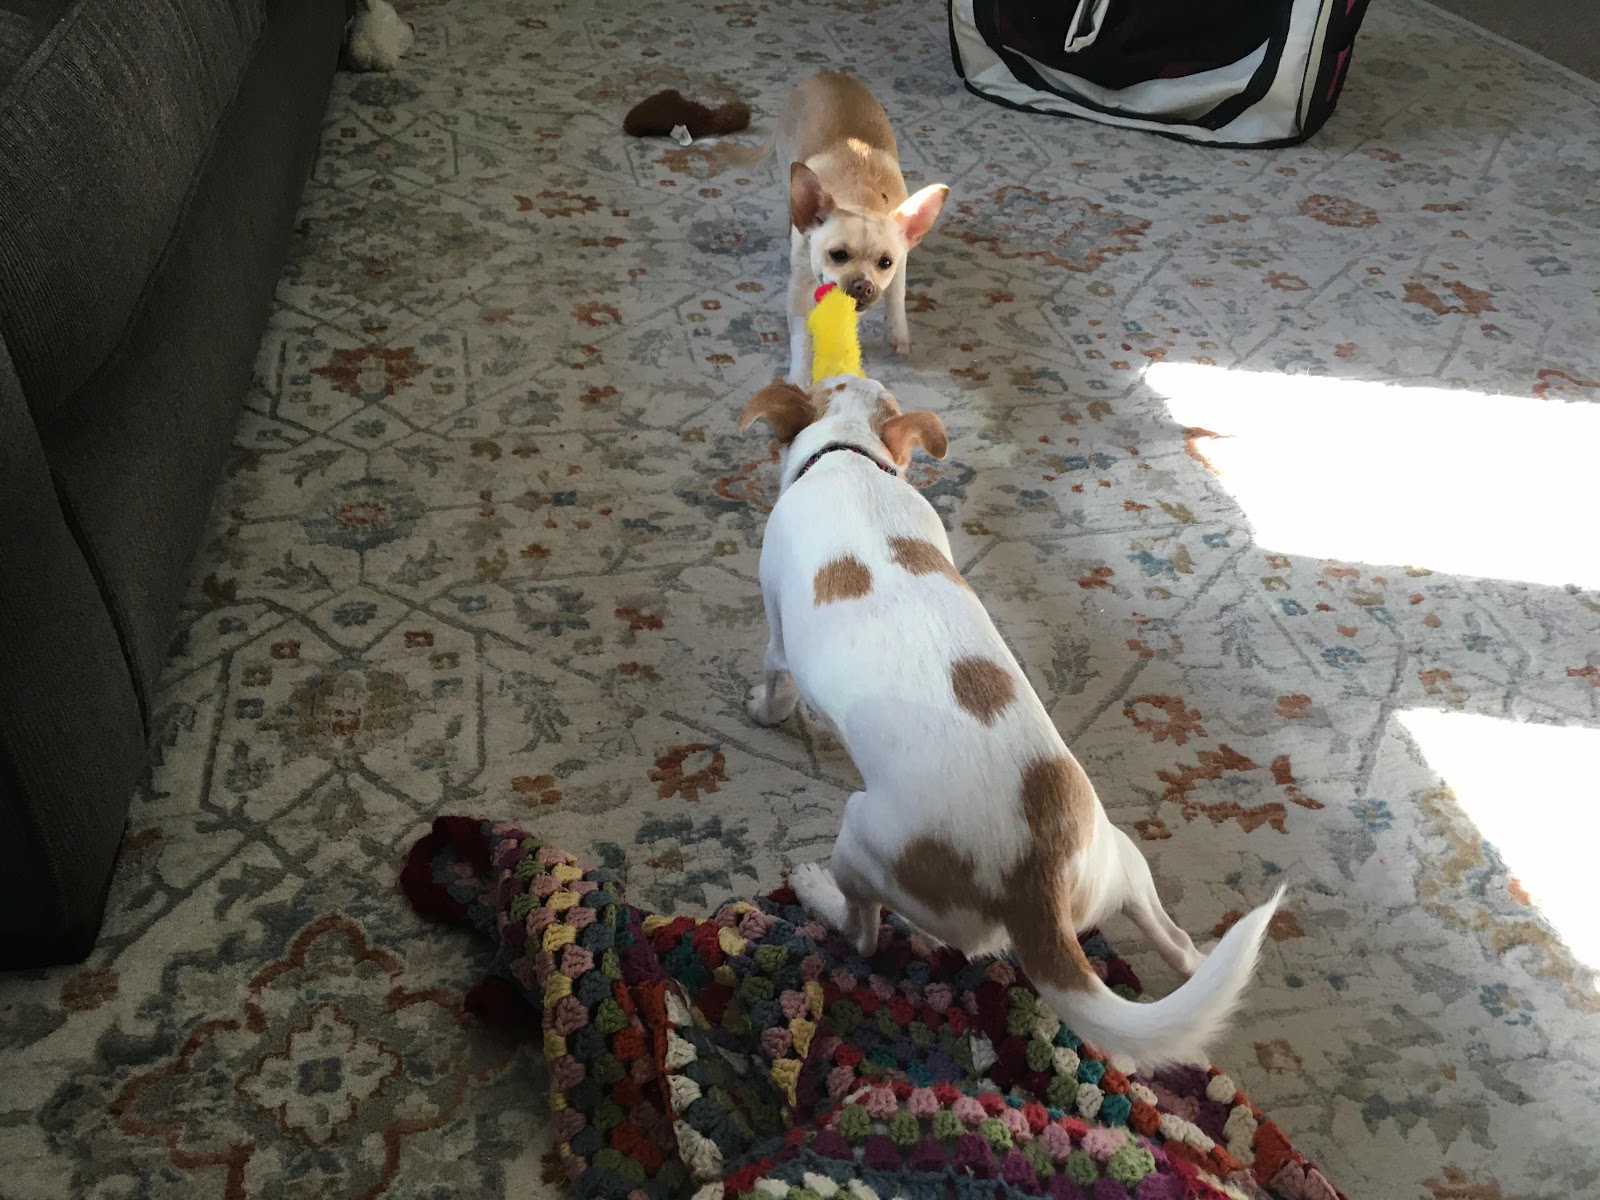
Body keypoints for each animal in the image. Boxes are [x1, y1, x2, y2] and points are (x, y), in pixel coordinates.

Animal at [723, 72, 948, 383]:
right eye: (838, 255)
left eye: (885, 263)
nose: (864, 285)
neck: (859, 199)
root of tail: (825, 73)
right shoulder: (800, 288)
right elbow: (801, 339)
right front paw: (799, 378)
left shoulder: (900, 267)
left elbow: (896, 298)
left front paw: (898, 335)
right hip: (786, 172)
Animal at [738, 374, 1283, 1067]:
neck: (849, 454)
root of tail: (1036, 881)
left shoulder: (778, 639)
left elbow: (775, 685)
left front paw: (760, 711)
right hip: (1121, 861)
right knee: (1180, 949)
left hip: (861, 839)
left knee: (863, 934)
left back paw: (814, 891)